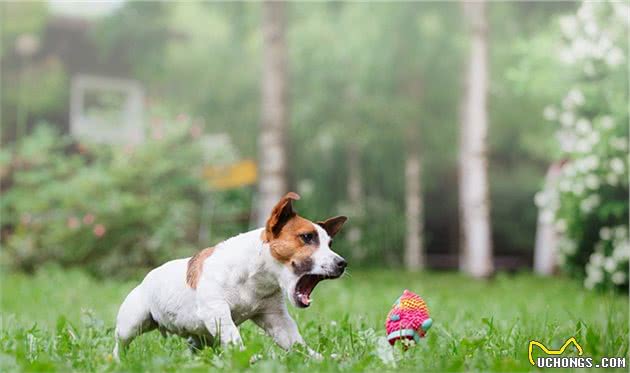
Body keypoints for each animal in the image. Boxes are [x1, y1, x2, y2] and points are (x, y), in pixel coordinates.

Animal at [114, 190, 350, 358]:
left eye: (330, 243)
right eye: (307, 237)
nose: (342, 263)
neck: (255, 277)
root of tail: (145, 280)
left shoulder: (276, 319)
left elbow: (296, 344)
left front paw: (318, 359)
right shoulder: (217, 312)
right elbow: (234, 339)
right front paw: (249, 359)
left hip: (199, 337)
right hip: (131, 324)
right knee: (120, 345)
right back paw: (119, 361)